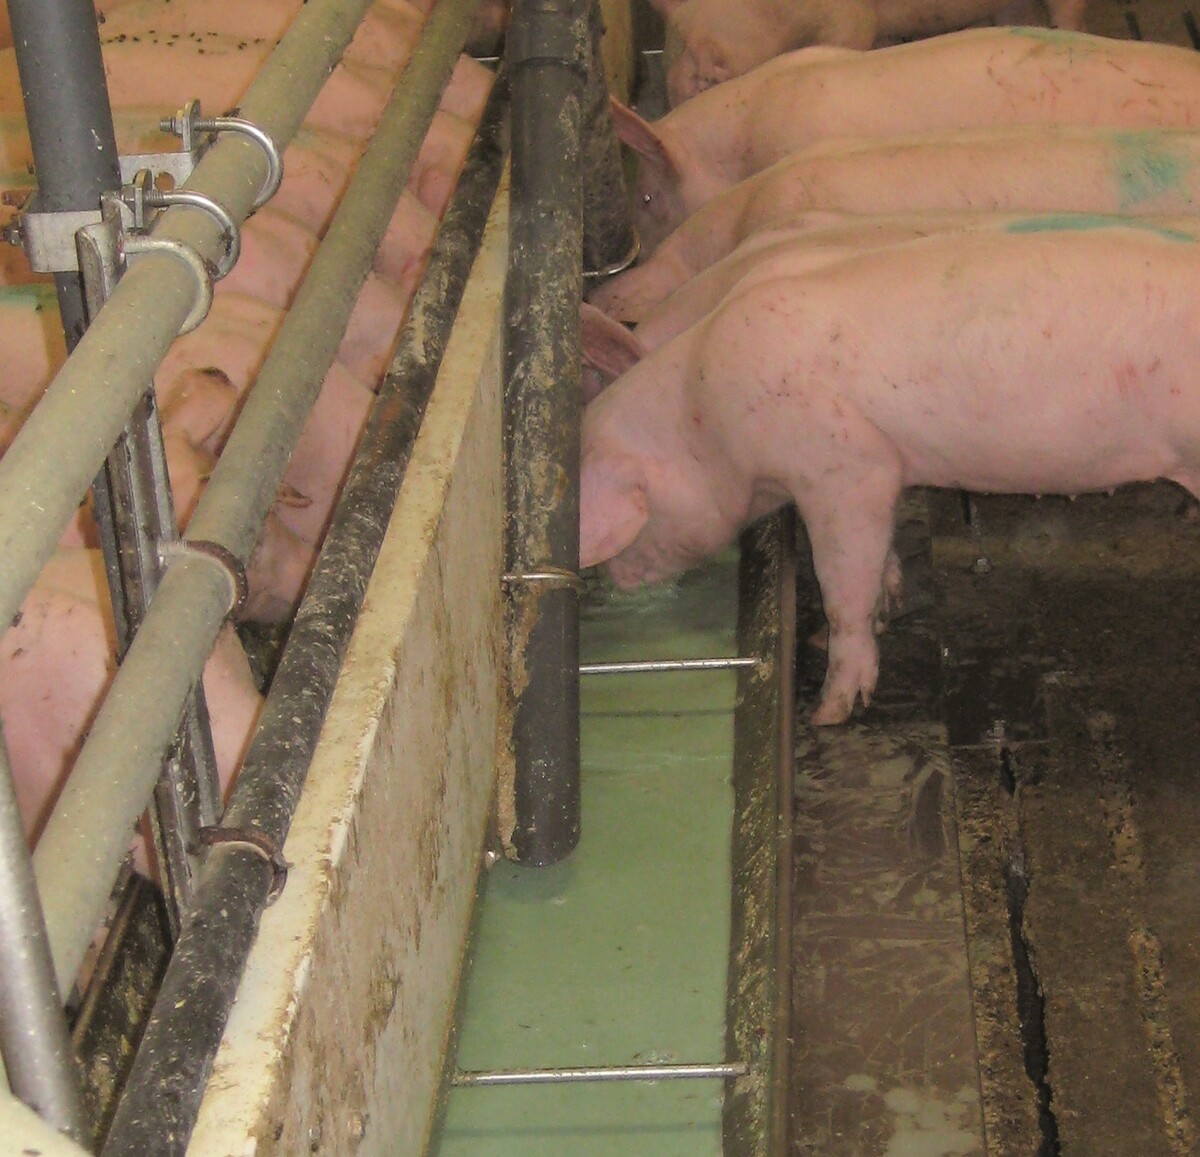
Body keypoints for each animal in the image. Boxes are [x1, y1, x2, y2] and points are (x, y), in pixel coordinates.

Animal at [579, 221, 1200, 724]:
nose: (613, 582)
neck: (704, 416)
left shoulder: (846, 466)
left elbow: (841, 584)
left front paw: (829, 712)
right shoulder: (882, 464)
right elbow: (880, 552)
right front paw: (874, 608)